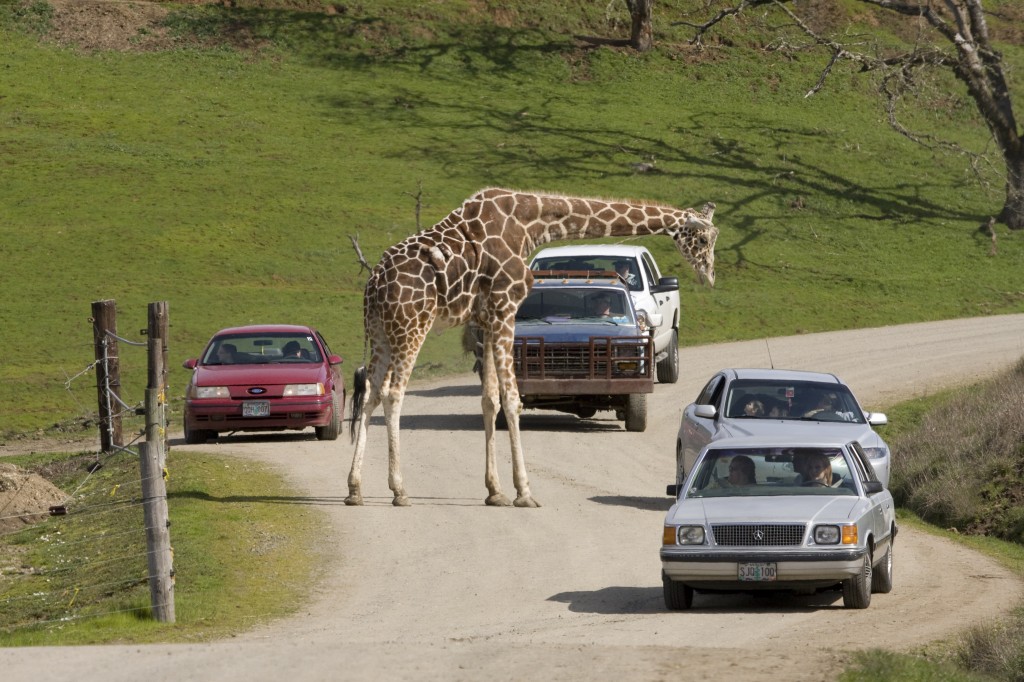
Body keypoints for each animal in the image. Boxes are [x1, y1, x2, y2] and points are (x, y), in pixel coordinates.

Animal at [348, 188, 716, 507]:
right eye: (702, 239)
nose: (709, 276)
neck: (530, 225)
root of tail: (374, 281)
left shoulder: (487, 319)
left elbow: (490, 400)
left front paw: (495, 491)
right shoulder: (505, 307)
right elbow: (512, 400)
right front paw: (523, 492)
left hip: (379, 330)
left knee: (369, 395)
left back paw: (355, 488)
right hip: (411, 326)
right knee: (393, 394)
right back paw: (399, 490)